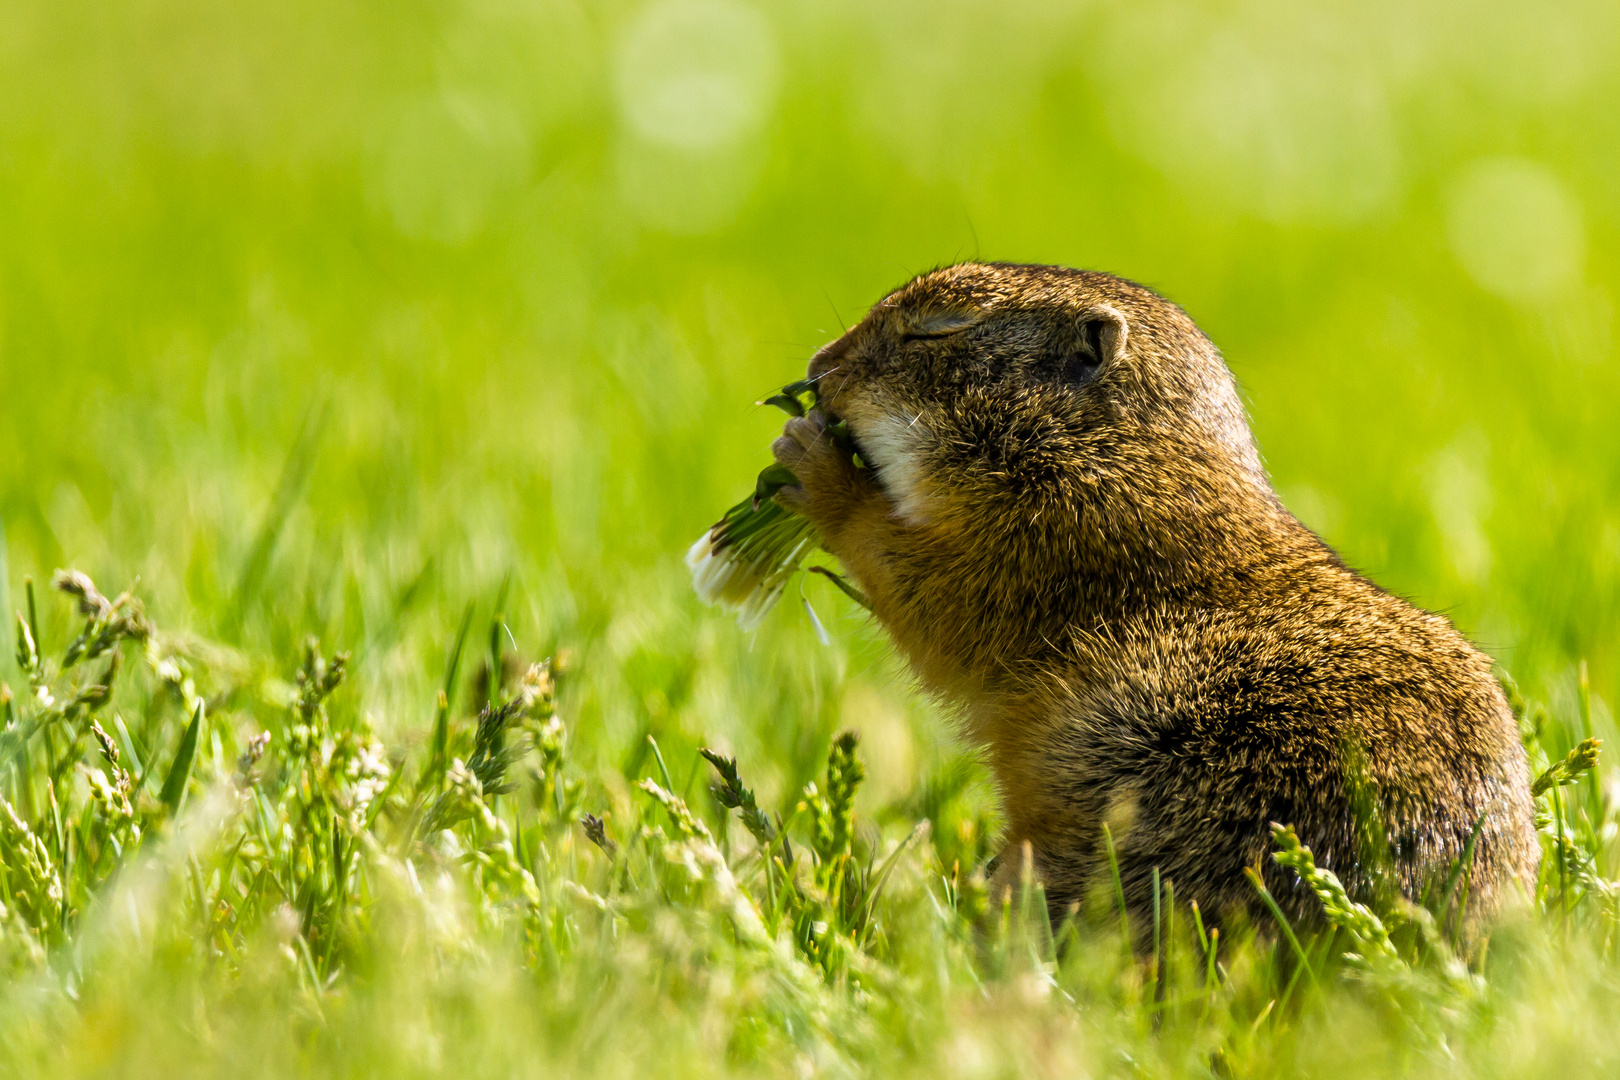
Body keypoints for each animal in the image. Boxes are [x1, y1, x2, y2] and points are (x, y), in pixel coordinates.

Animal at [777, 259, 1535, 932]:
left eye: (936, 329)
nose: (816, 367)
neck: (1128, 457)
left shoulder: (1040, 544)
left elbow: (930, 592)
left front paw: (814, 464)